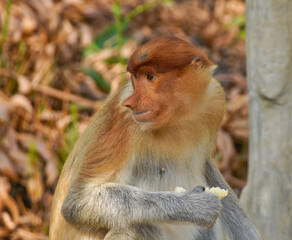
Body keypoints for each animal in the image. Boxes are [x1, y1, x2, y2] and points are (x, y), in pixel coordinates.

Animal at [49, 36, 260, 239]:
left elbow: (208, 168)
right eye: (136, 77)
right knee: (137, 224)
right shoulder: (124, 120)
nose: (131, 102)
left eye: (150, 77)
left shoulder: (215, 98)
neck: (177, 117)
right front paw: (196, 205)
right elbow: (79, 201)